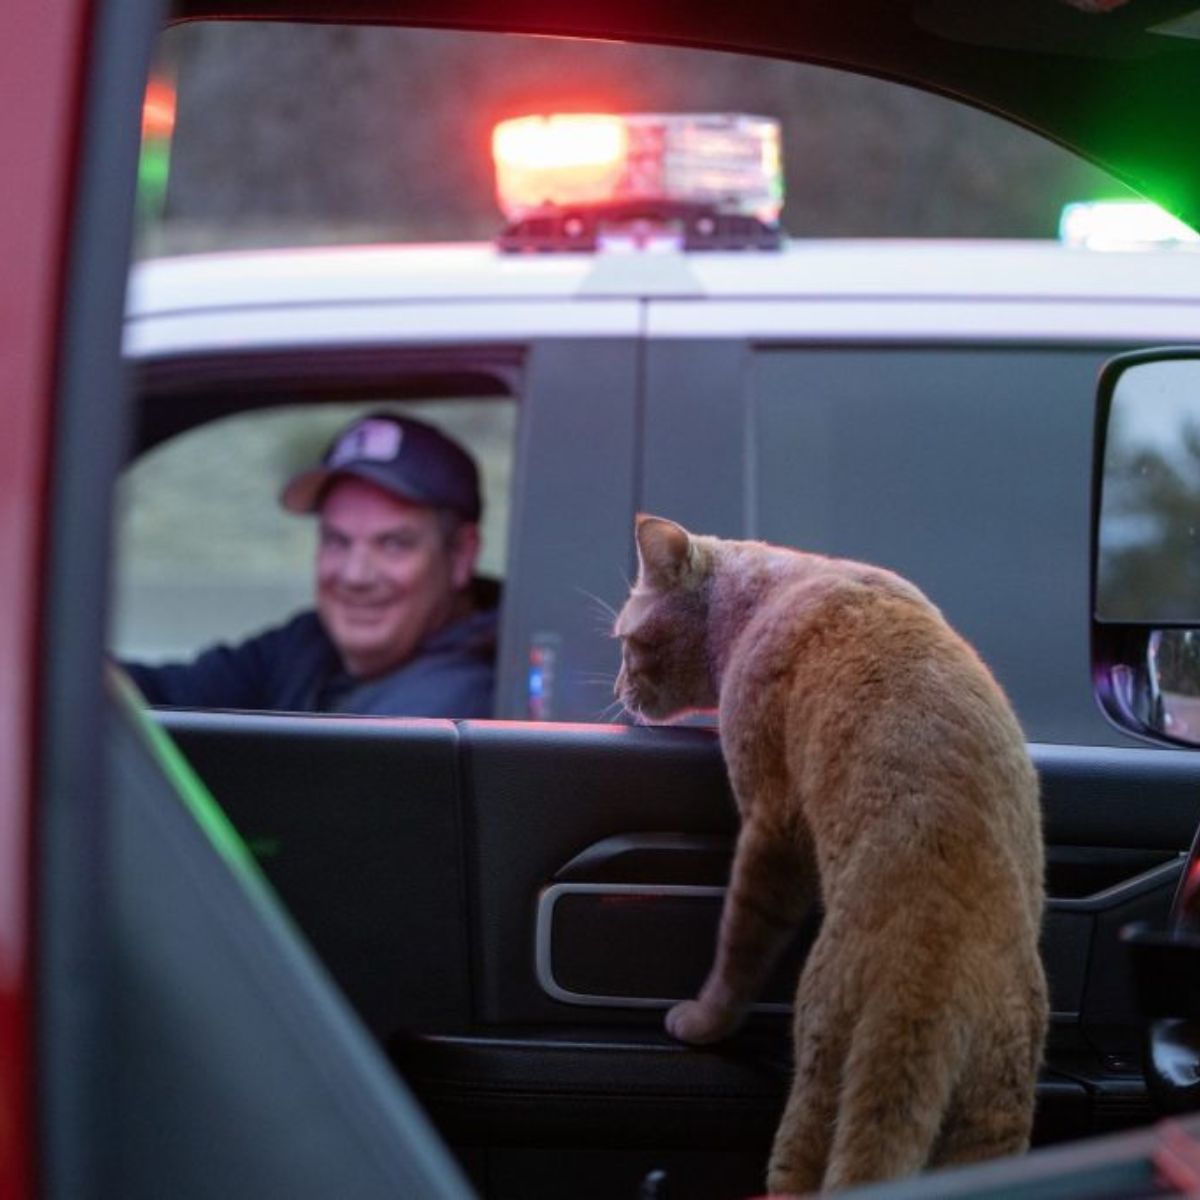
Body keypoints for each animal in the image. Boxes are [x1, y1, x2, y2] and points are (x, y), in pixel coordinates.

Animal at [614, 513, 1046, 1190]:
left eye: (628, 643)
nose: (619, 688)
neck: (767, 594)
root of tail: (931, 980)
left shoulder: (771, 820)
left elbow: (739, 947)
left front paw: (705, 1020)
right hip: (990, 1126)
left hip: (820, 1074)